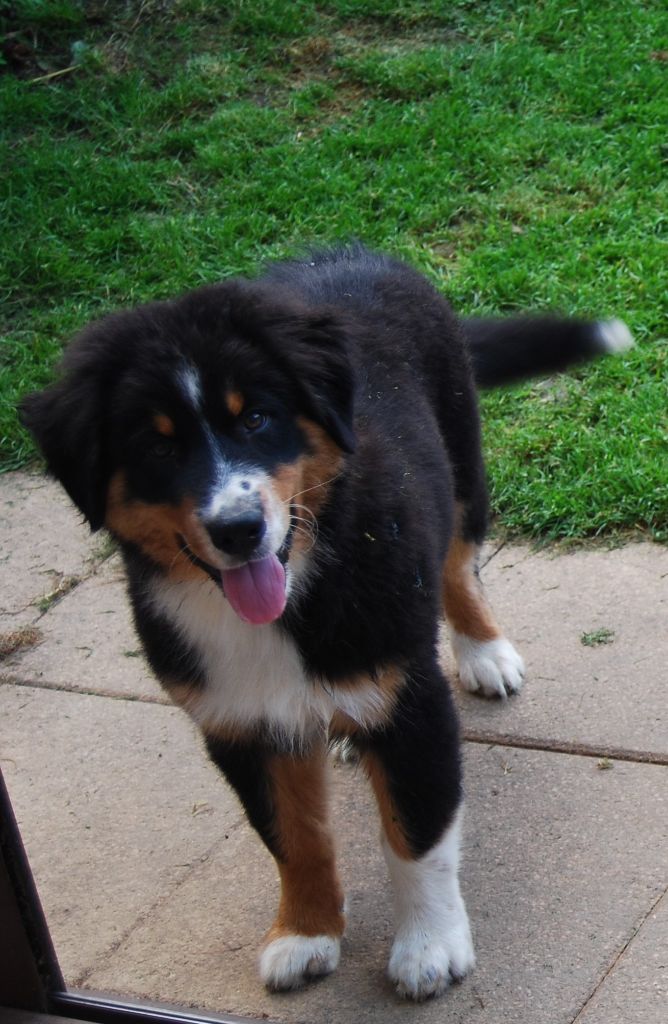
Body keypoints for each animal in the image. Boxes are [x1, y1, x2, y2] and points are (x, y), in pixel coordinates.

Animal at [20, 244, 632, 999]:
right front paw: (304, 935)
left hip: (462, 463)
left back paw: (485, 654)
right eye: (157, 447)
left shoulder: (410, 699)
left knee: (458, 566)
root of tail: (352, 251)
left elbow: (415, 834)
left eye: (256, 418)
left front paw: (429, 946)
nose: (238, 529)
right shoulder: (240, 724)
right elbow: (294, 838)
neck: (287, 603)